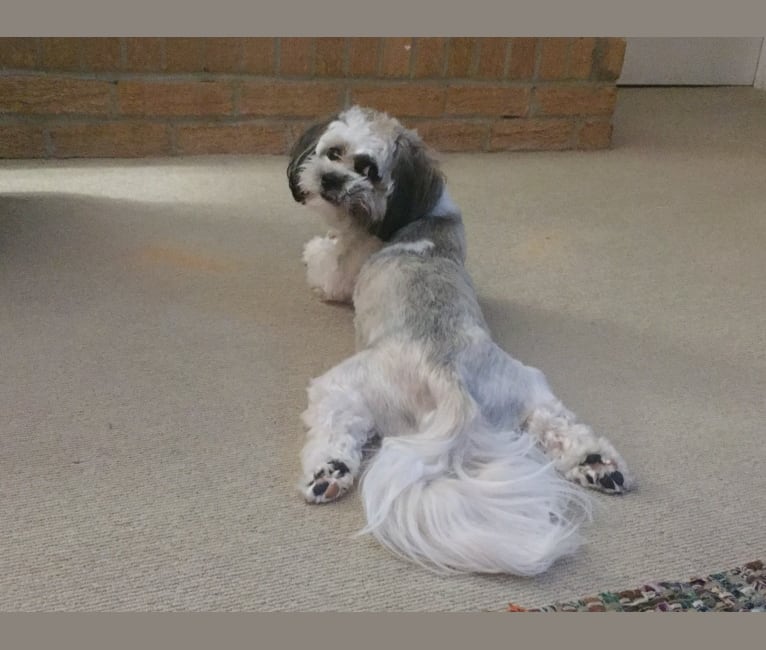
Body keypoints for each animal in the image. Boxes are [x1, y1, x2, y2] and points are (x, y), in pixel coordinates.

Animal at [288, 107, 636, 576]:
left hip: (345, 384)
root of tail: (446, 375)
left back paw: (328, 473)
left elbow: (323, 263)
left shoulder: (343, 268)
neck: (421, 212)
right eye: (333, 152)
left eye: (367, 170)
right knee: (560, 425)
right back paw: (598, 466)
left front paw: (314, 248)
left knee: (337, 429)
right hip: (525, 388)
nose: (329, 178)